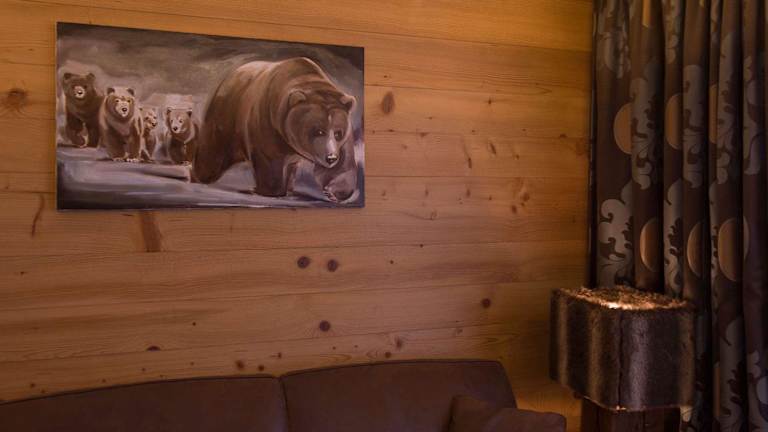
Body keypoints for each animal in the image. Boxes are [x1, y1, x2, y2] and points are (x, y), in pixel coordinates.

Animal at [192, 57, 358, 201]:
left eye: (338, 133)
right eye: (319, 131)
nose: (331, 157)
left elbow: (343, 165)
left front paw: (332, 192)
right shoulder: (267, 119)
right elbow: (269, 157)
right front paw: (266, 190)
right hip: (226, 115)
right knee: (213, 151)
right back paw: (198, 176)